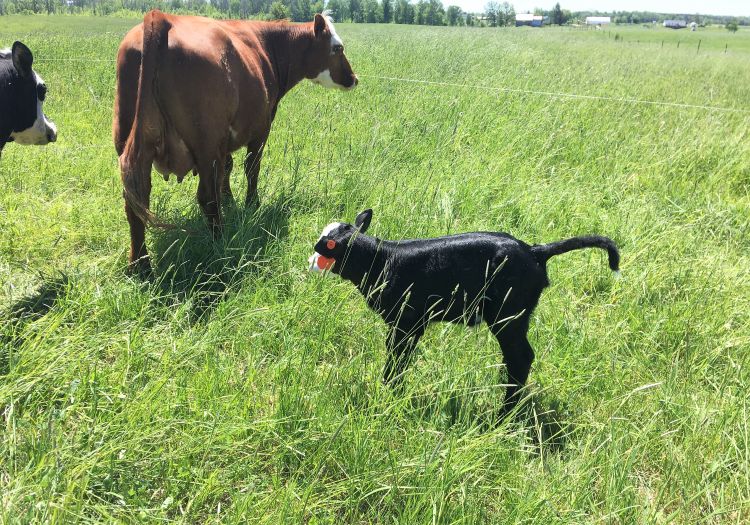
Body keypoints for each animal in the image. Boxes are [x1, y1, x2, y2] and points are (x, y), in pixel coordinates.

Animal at [114, 10, 358, 274]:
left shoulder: (225, 142)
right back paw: (221, 243)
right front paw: (252, 204)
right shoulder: (261, 128)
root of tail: (162, 17)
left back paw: (140, 265)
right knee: (207, 198)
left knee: (135, 198)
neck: (268, 46)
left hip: (131, 140)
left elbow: (228, 168)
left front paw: (231, 200)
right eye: (338, 48)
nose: (354, 78)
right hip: (206, 143)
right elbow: (252, 168)